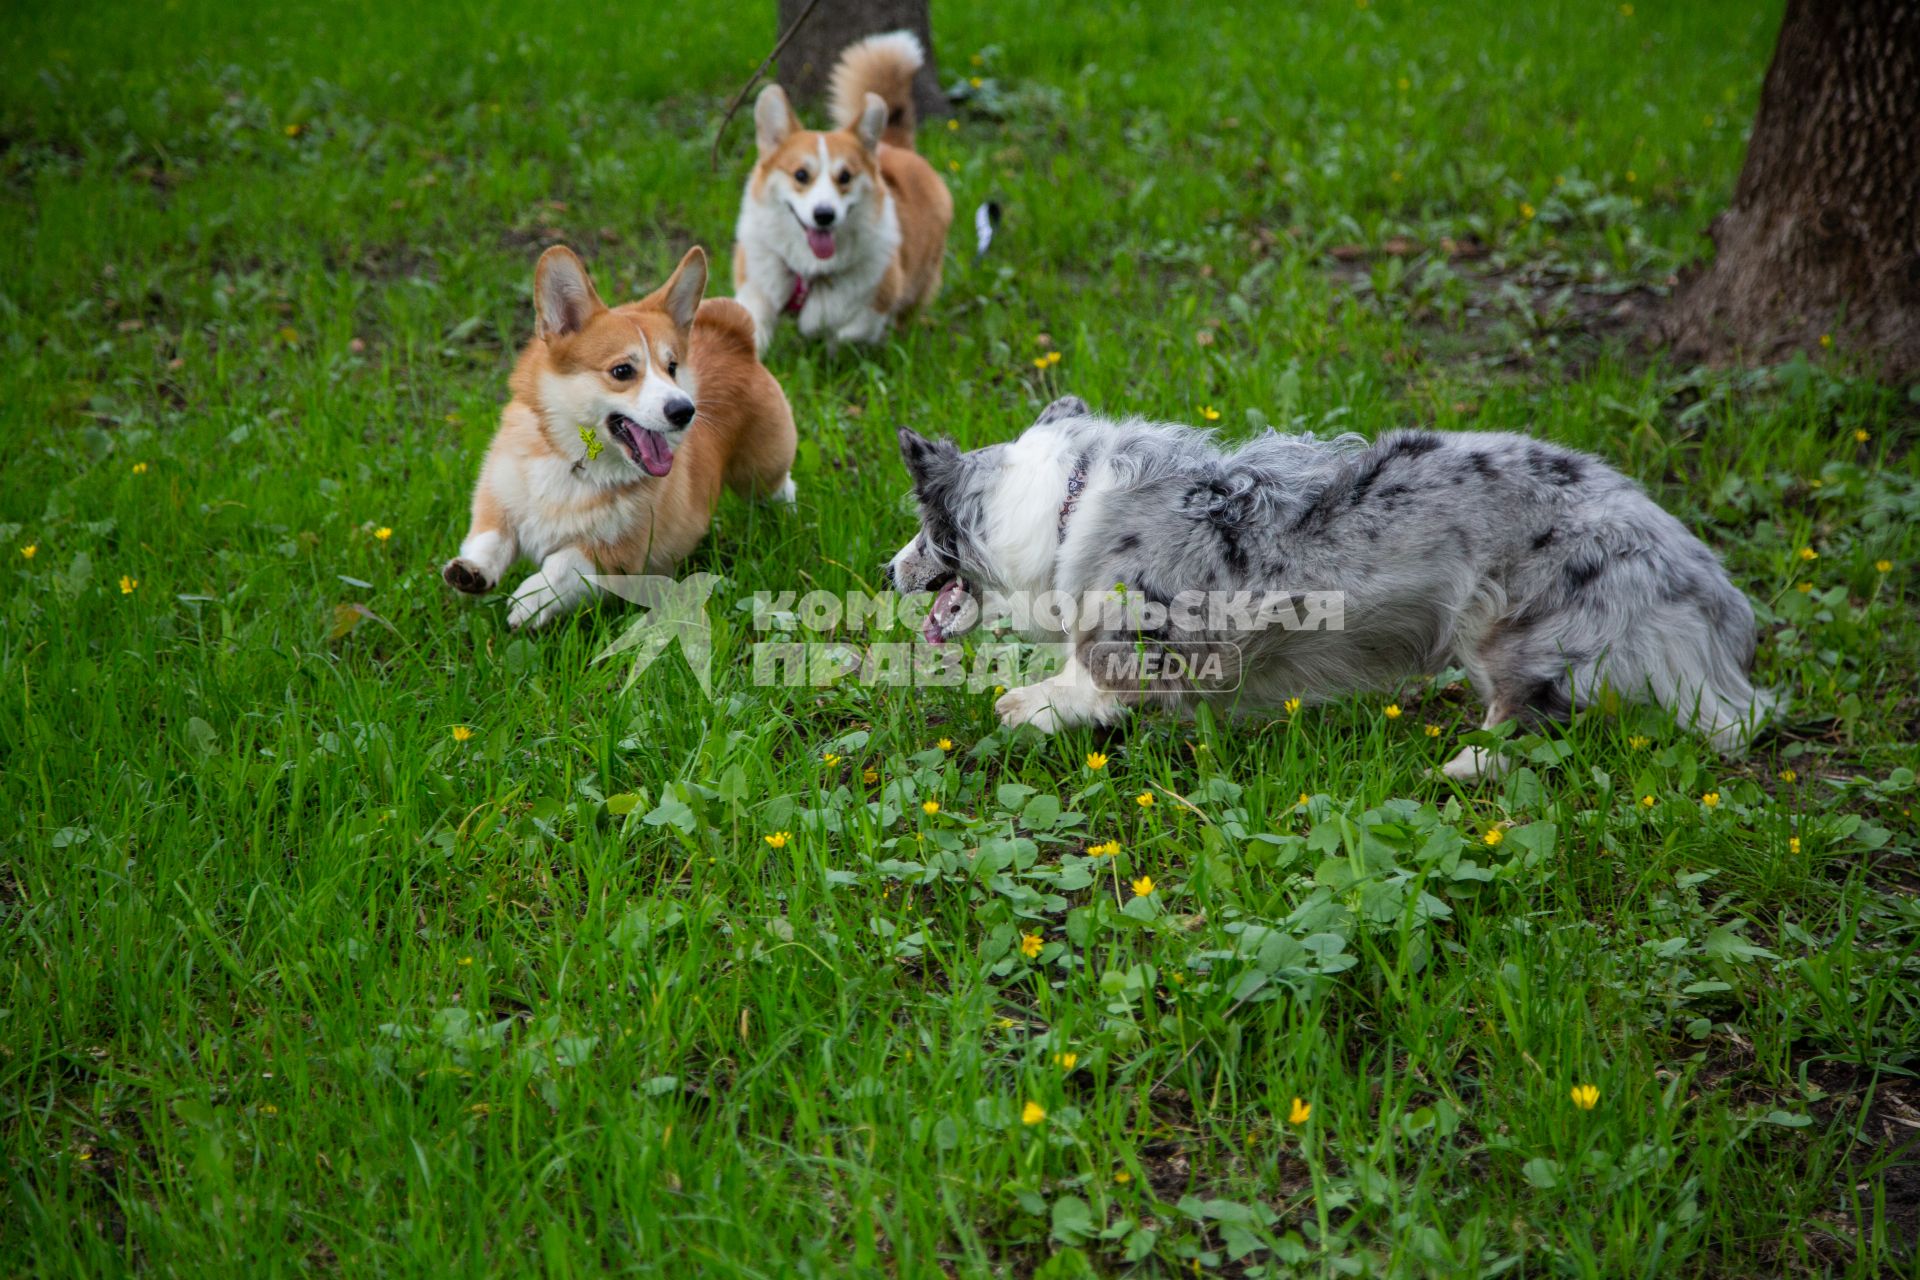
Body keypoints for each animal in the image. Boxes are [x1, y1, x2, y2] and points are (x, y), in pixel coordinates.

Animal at [890, 393, 1774, 782]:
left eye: (921, 531)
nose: (886, 572)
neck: (1062, 507)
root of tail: (1679, 552)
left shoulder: (1147, 640)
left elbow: (1080, 680)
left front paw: (1029, 706)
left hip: (1503, 626)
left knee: (1530, 718)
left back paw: (1458, 764)